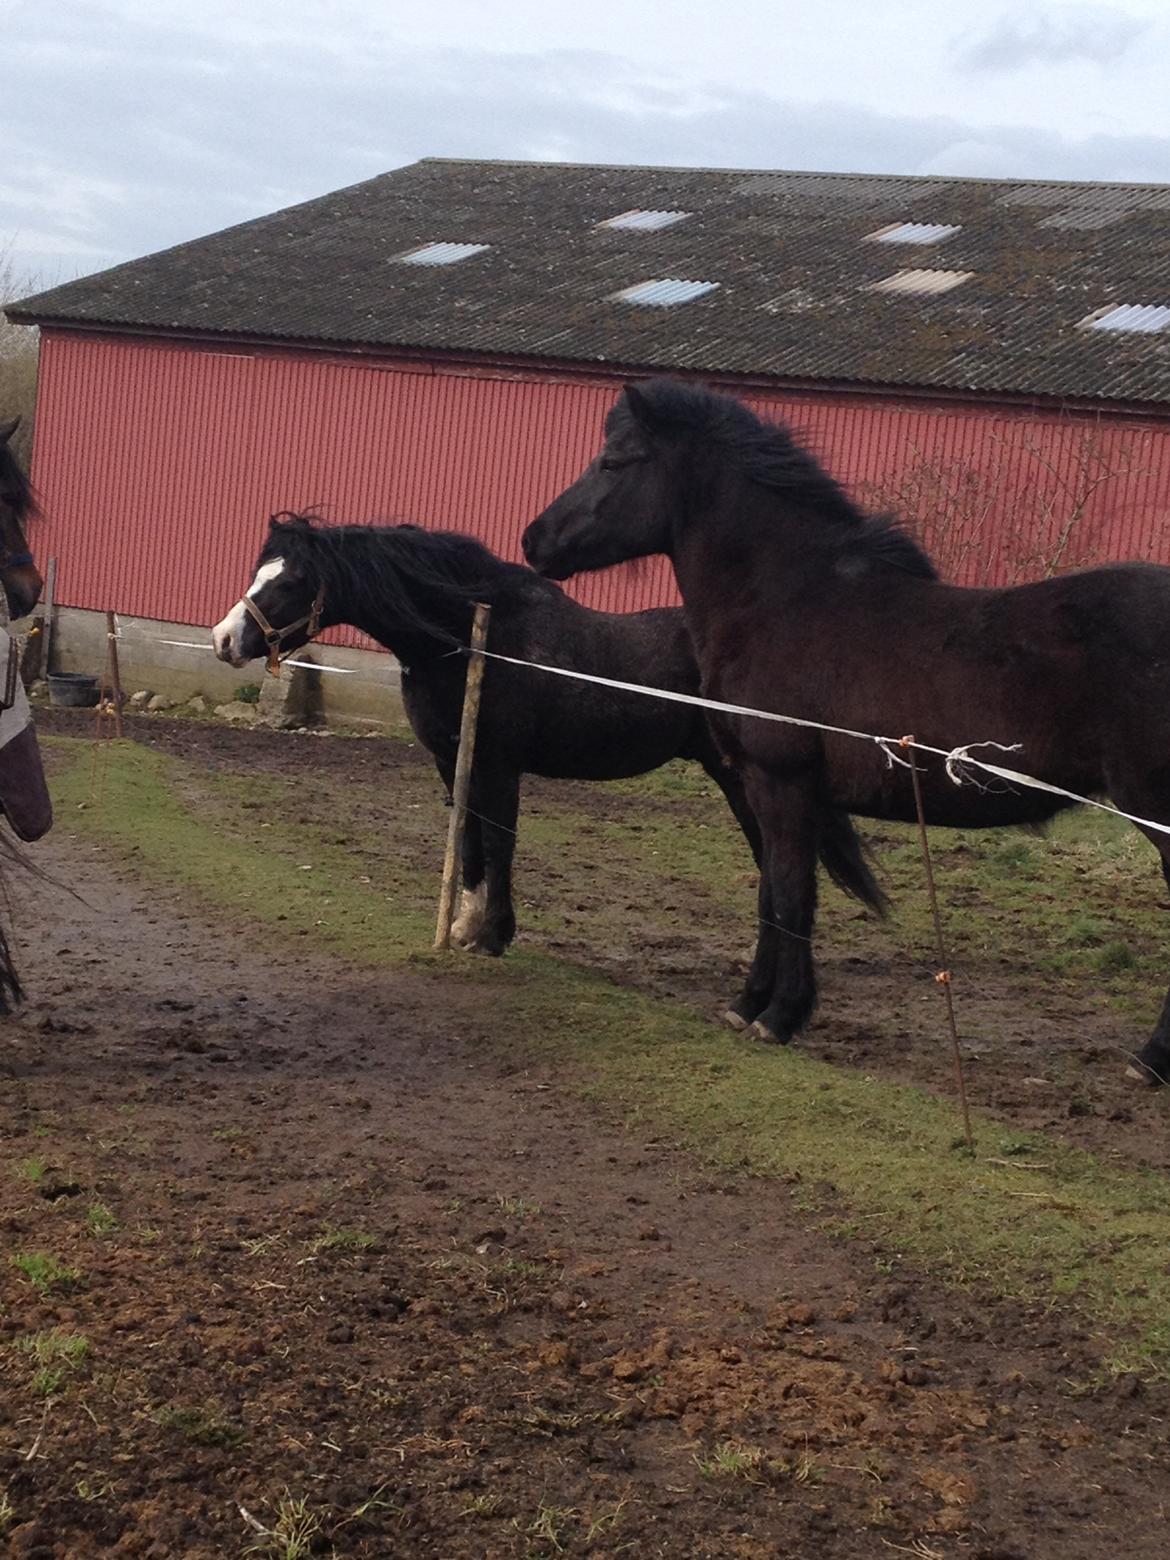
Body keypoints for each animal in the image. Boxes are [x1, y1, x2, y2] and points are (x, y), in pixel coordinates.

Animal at [211, 514, 886, 956]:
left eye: (292, 582)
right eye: (260, 571)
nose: (223, 641)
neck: (470, 638)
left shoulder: (498, 765)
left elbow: (500, 841)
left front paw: (493, 935)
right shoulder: (452, 761)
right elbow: (471, 844)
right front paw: (465, 929)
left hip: (741, 779)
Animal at [522, 377, 1170, 1087]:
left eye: (616, 461)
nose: (534, 540)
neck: (784, 601)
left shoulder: (781, 783)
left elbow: (790, 894)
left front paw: (779, 1017)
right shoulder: (764, 788)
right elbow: (770, 893)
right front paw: (748, 1004)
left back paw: (1150, 1063)